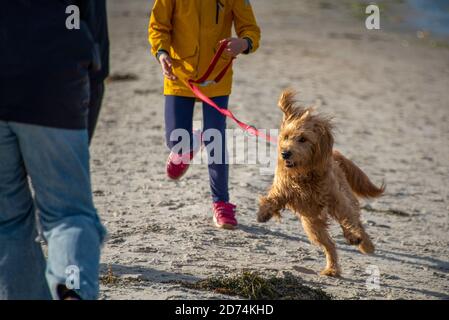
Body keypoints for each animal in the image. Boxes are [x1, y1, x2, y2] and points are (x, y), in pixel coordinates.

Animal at [258, 89, 384, 276]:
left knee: (356, 222)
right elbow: (271, 199)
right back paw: (332, 268)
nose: (285, 153)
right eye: (286, 136)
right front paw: (264, 213)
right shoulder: (283, 189)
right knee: (329, 245)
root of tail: (335, 154)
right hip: (312, 225)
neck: (305, 175)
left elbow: (348, 220)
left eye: (303, 139)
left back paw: (364, 244)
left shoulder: (337, 200)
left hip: (344, 200)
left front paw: (354, 236)